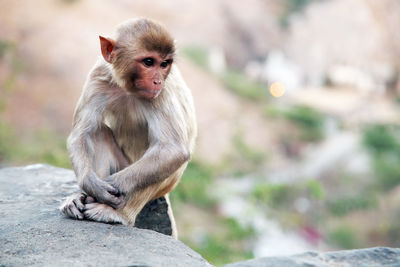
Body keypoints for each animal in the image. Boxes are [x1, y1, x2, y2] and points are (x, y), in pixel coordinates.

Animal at [59, 18, 197, 237]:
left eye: (164, 64)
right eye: (149, 62)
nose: (157, 80)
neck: (129, 89)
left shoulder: (162, 93)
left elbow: (172, 150)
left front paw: (109, 187)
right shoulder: (98, 75)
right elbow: (81, 134)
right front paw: (92, 185)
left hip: (163, 185)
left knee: (160, 163)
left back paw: (117, 214)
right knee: (98, 133)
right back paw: (80, 199)